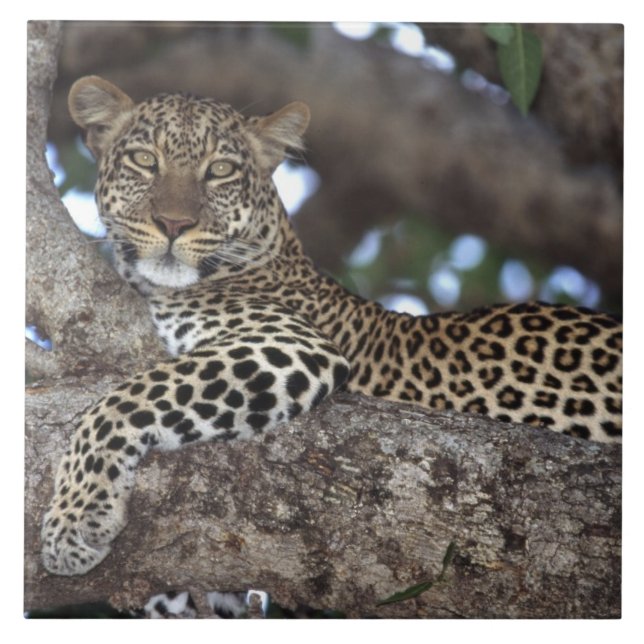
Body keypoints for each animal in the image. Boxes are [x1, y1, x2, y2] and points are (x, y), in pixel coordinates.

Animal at [40, 75, 622, 577]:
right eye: (144, 160)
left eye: (220, 170)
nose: (174, 224)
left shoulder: (290, 344)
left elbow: (124, 400)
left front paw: (73, 523)